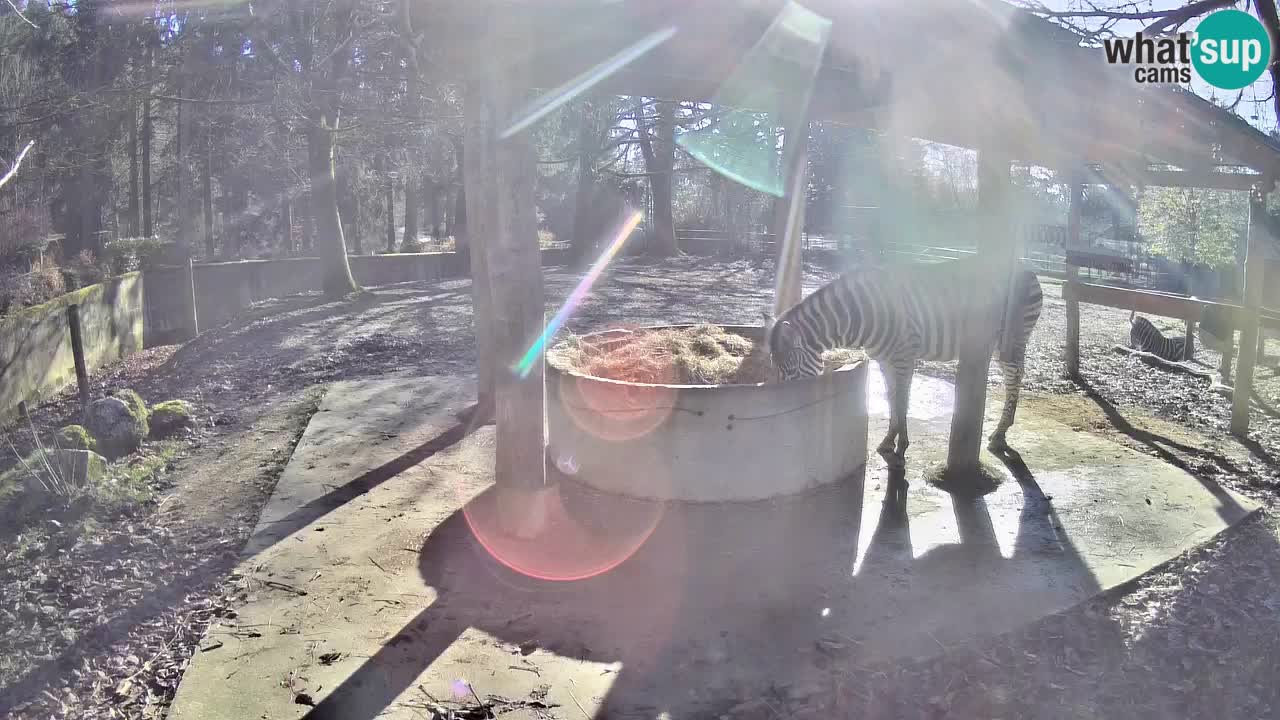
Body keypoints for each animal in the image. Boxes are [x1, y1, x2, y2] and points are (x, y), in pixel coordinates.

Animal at [757, 256, 1039, 466]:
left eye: (791, 372)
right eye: (775, 370)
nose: (782, 420)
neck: (861, 315)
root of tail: (1025, 265)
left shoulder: (904, 356)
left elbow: (902, 400)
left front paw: (901, 446)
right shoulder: (883, 360)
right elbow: (892, 398)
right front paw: (888, 440)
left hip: (1012, 340)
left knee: (1015, 378)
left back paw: (1000, 434)